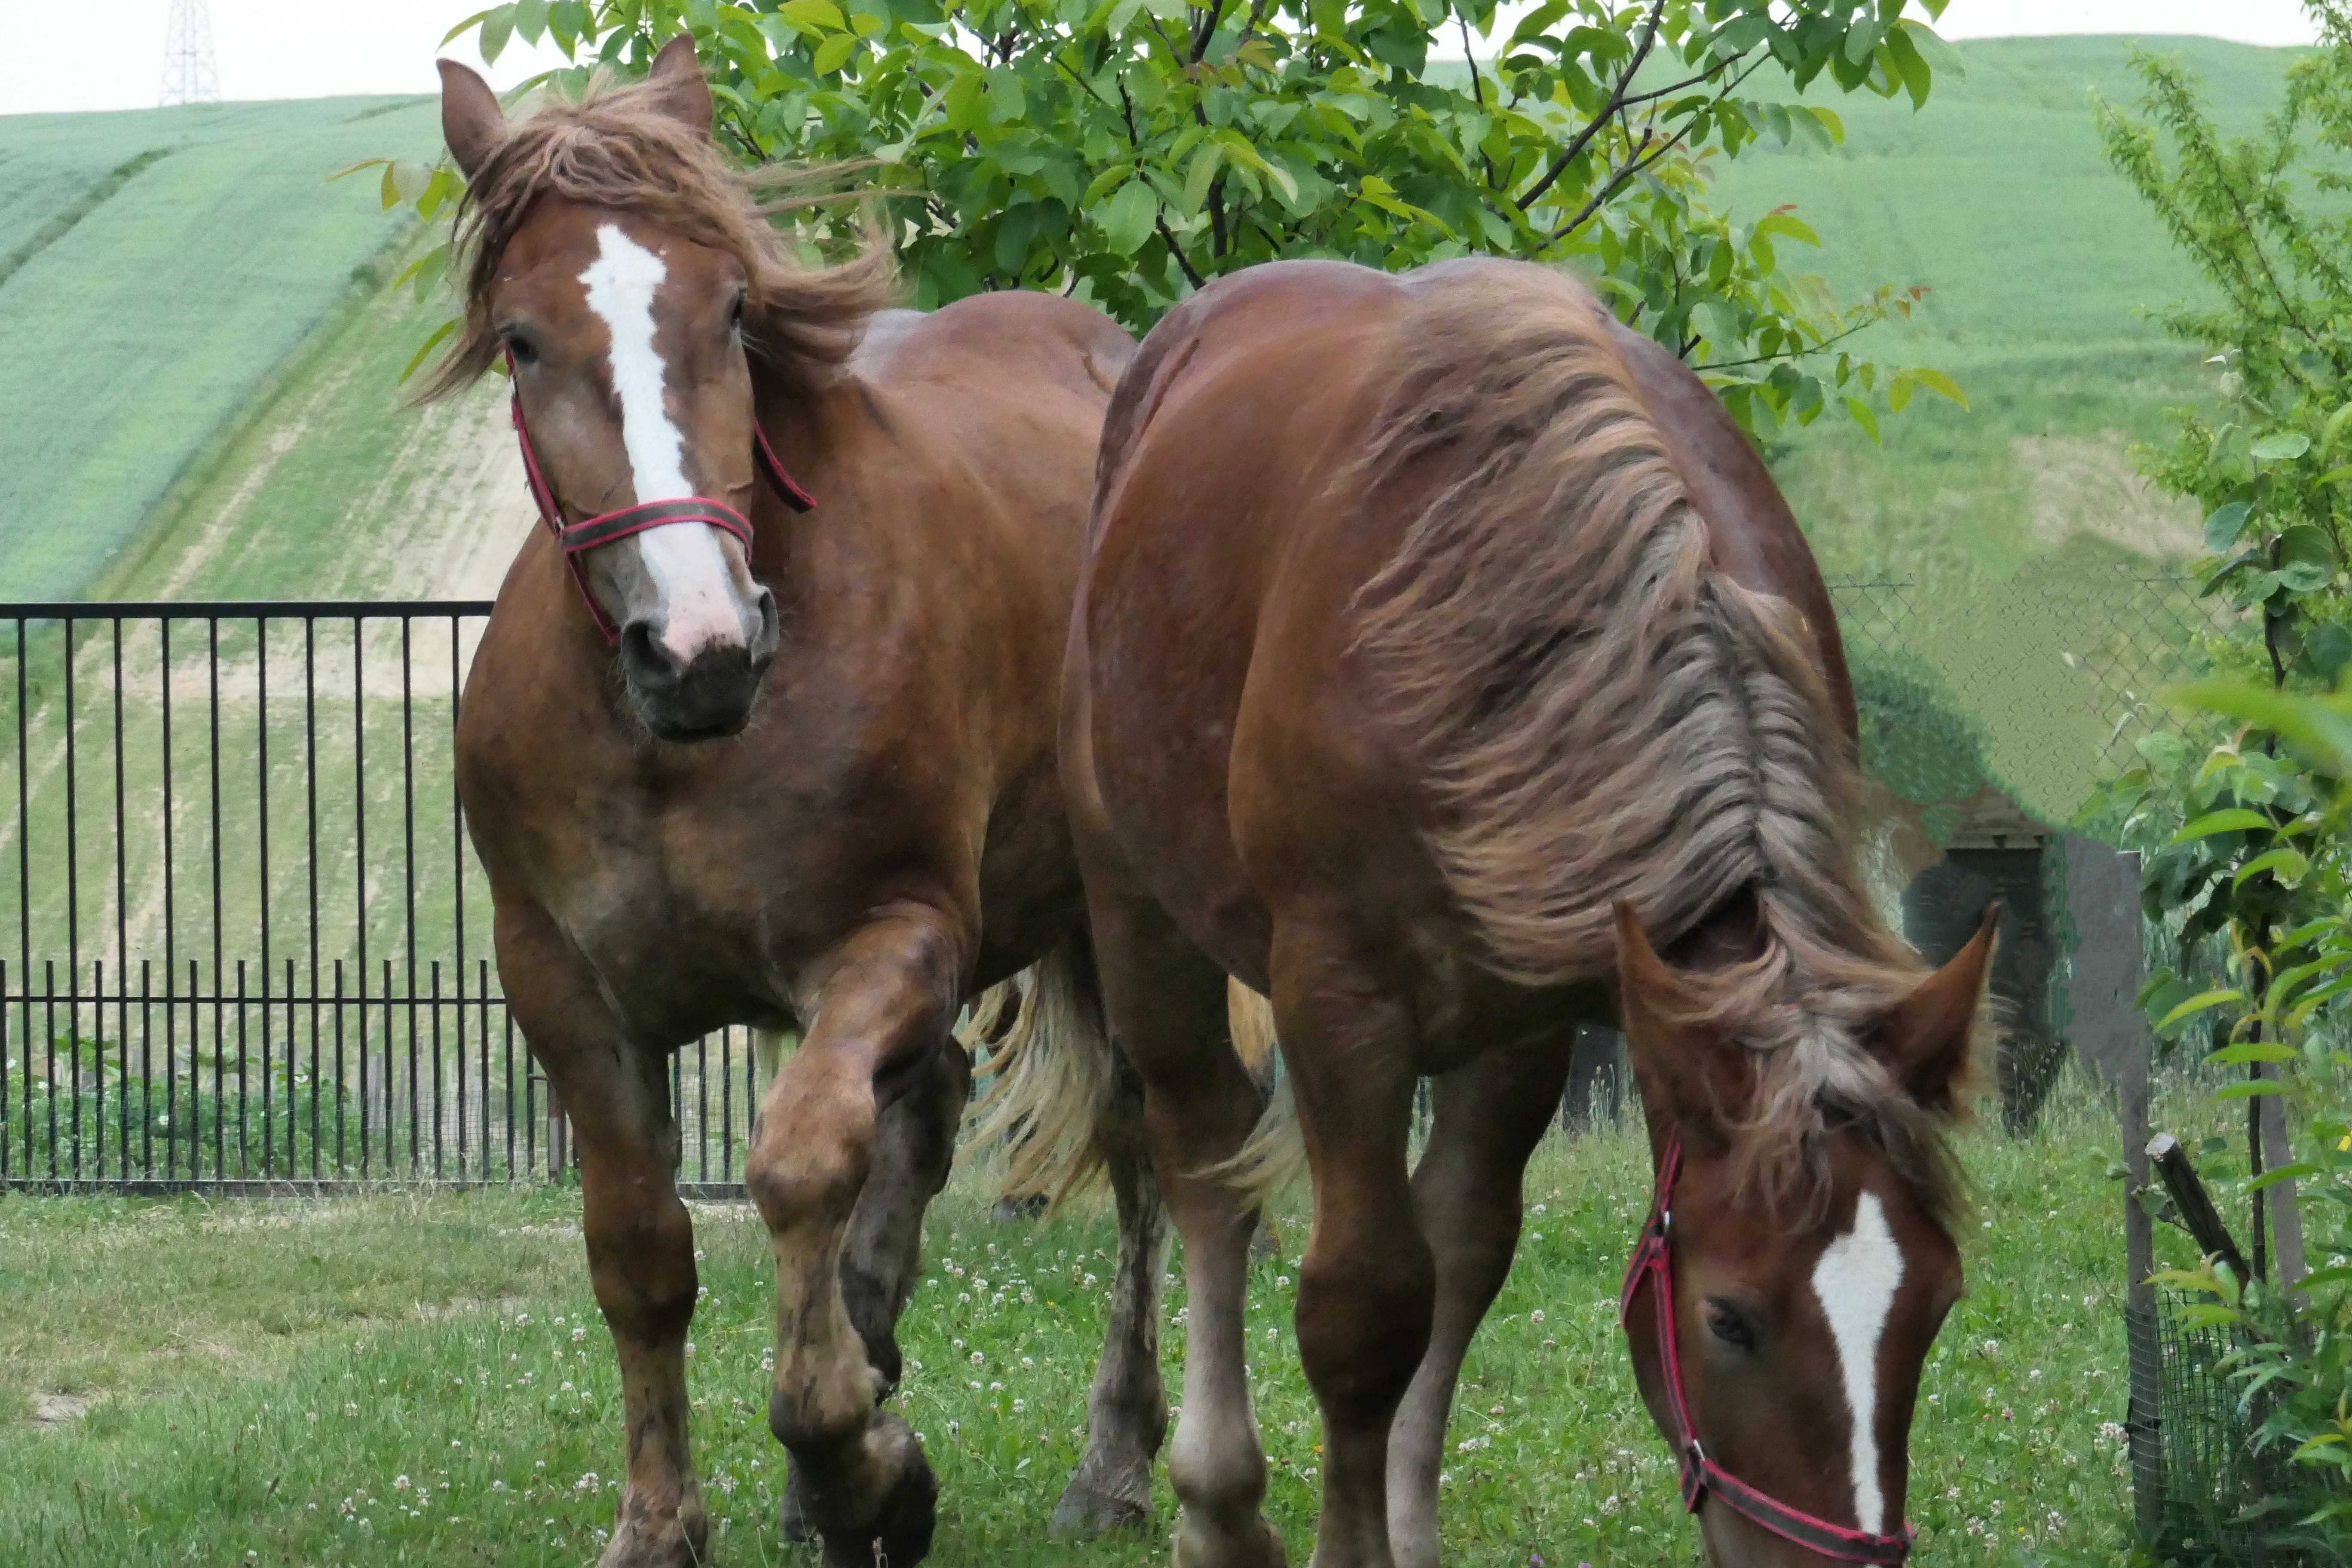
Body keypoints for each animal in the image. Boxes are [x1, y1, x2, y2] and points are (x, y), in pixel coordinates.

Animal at [432, 40, 1167, 1568]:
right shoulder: (564, 988)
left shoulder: (897, 939)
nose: (700, 648)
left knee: (1146, 1152)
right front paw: (669, 1519)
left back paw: (1115, 1462)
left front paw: (860, 1464)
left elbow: (796, 1163)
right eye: (522, 341)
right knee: (926, 1120)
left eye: (729, 309)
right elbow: (641, 1249)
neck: (679, 747)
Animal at [1058, 261, 1994, 1568]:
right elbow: (1361, 1308)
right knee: (1201, 1164)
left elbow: (1459, 1259)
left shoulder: (1535, 1008)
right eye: (1730, 1318)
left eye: (1935, 1300)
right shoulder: (1338, 997)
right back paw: (1214, 1500)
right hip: (1138, 909)